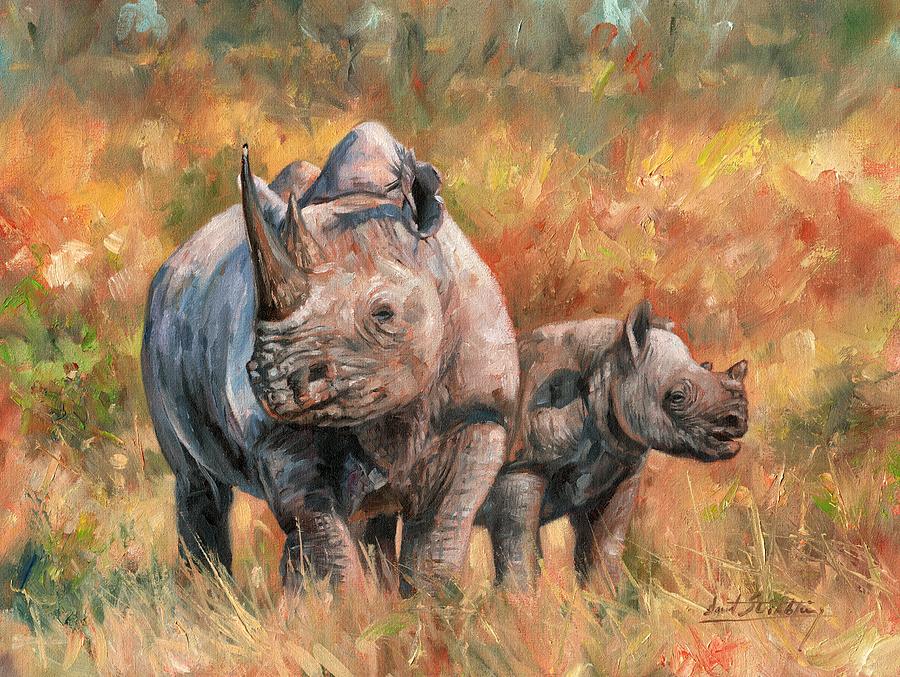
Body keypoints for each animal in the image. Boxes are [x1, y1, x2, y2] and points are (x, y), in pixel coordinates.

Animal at [141, 122, 518, 592]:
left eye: (384, 314)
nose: (276, 383)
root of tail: (173, 260)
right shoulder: (276, 435)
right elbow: (318, 526)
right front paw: (342, 607)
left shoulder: (479, 410)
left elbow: (440, 526)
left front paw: (432, 603)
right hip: (159, 325)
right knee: (198, 483)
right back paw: (210, 595)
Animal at [476, 300, 749, 587]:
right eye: (677, 397)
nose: (738, 421)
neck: (606, 364)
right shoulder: (521, 464)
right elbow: (518, 548)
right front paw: (520, 598)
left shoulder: (623, 462)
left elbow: (604, 547)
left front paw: (604, 595)